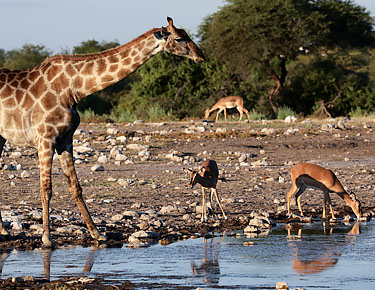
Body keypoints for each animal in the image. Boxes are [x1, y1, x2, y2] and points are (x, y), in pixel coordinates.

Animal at [0, 17, 206, 247]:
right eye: (179, 38)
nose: (201, 56)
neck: (74, 89)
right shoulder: (45, 139)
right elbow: (47, 188)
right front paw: (47, 238)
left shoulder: (65, 139)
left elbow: (75, 187)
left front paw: (97, 233)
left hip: (0, 138)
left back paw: (4, 231)